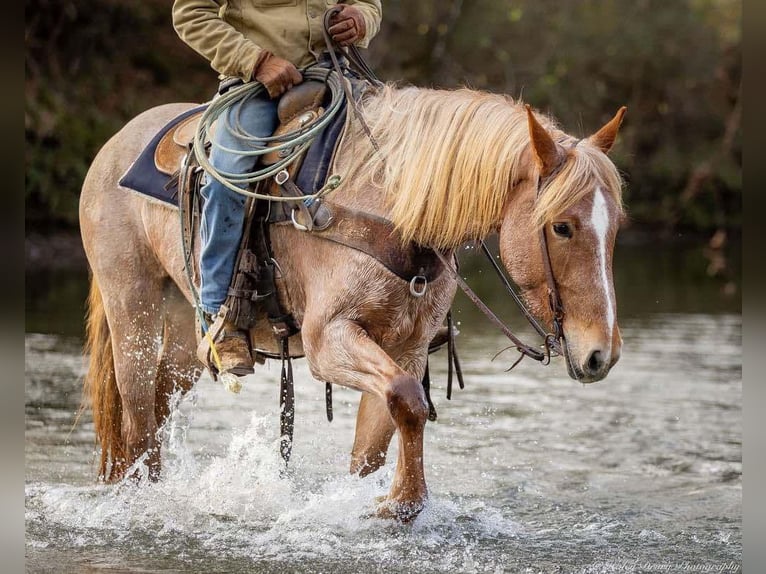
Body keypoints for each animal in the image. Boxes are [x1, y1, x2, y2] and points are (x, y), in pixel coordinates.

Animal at [79, 84, 632, 520]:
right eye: (561, 226)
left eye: (615, 227)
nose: (600, 355)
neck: (391, 208)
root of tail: (114, 144)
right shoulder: (329, 341)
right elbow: (409, 401)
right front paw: (403, 500)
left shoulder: (406, 347)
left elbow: (379, 438)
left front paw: (382, 504)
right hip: (132, 307)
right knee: (136, 415)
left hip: (183, 333)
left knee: (158, 399)